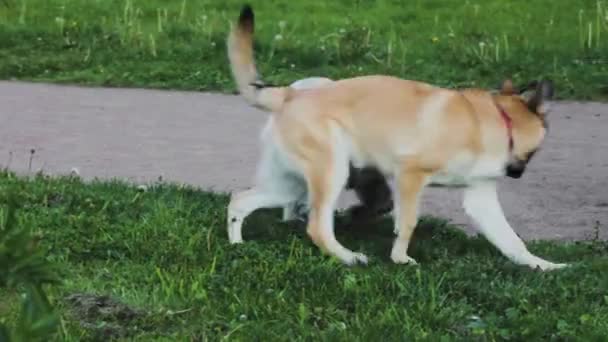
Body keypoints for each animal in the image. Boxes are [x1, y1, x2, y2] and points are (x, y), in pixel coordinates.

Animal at [226, 5, 568, 272]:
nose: (517, 173)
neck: (498, 121)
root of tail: (290, 94)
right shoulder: (411, 176)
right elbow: (407, 223)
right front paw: (401, 259)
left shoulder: (480, 197)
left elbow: (511, 241)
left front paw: (544, 265)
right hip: (331, 173)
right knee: (318, 228)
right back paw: (348, 257)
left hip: (292, 184)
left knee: (239, 202)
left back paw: (237, 244)